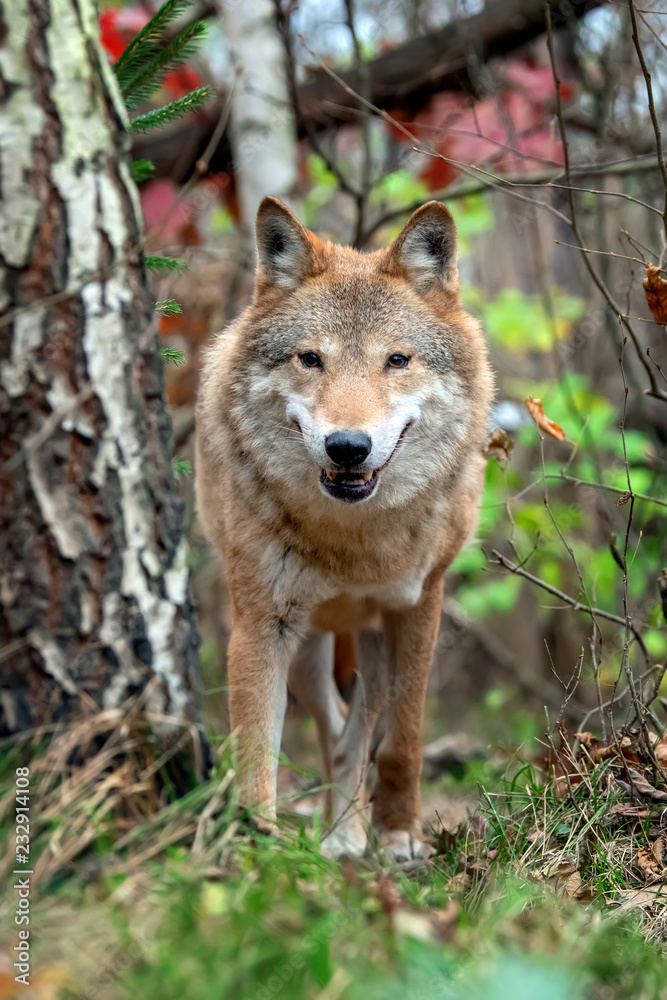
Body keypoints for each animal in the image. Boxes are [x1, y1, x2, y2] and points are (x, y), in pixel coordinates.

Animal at [195, 197, 493, 861]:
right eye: (311, 359)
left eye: (397, 360)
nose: (348, 447)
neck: (355, 542)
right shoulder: (263, 624)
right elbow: (257, 752)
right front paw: (255, 847)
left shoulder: (419, 606)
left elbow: (403, 740)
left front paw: (400, 830)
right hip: (309, 650)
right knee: (334, 729)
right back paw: (338, 834)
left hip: (372, 647)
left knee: (356, 733)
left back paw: (348, 833)